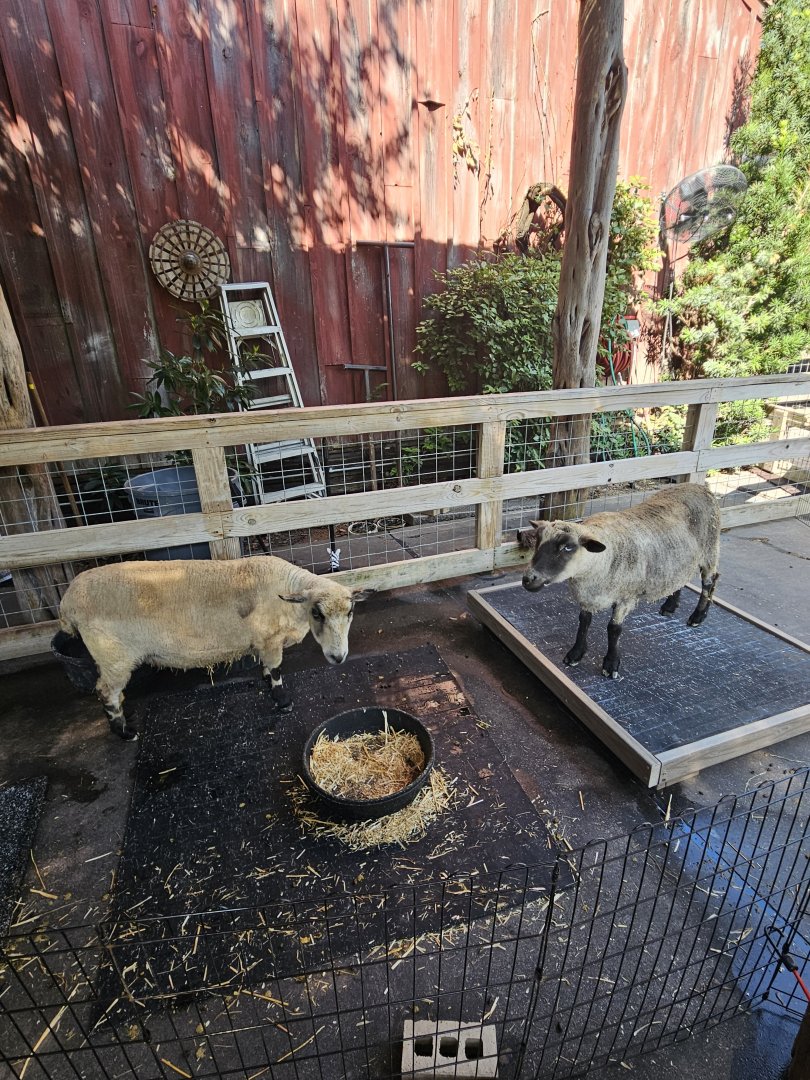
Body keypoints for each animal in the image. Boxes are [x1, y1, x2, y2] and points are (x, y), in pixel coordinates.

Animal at [58, 556, 373, 740]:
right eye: (317, 614)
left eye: (350, 612)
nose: (338, 657)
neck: (287, 593)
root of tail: (67, 602)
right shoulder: (270, 640)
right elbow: (276, 670)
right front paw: (282, 701)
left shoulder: (261, 641)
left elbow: (266, 668)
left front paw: (265, 683)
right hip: (113, 653)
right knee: (105, 691)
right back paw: (124, 731)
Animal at [517, 483, 720, 679]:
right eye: (538, 541)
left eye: (568, 547)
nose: (528, 579)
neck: (600, 560)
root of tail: (701, 487)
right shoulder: (588, 595)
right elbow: (584, 622)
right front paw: (575, 654)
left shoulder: (625, 597)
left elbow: (613, 629)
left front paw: (611, 664)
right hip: (678, 559)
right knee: (679, 579)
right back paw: (670, 606)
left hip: (710, 550)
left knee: (710, 582)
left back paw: (698, 616)